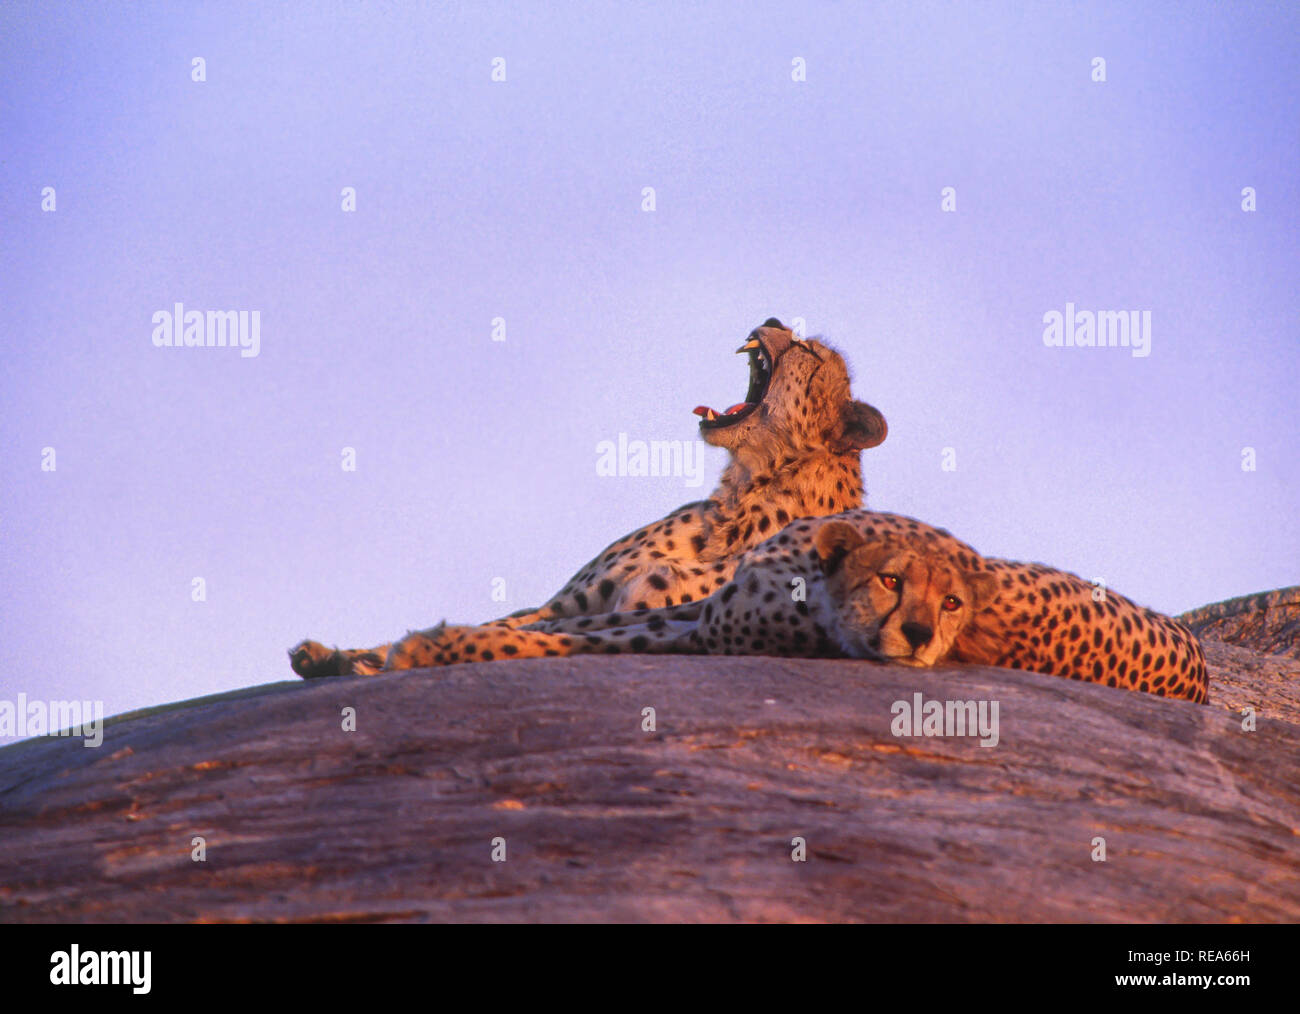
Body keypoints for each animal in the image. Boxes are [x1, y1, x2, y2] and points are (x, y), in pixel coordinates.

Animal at [290, 318, 889, 678]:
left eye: (808, 349)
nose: (771, 320)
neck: (745, 496)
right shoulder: (570, 605)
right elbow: (508, 624)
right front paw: (353, 655)